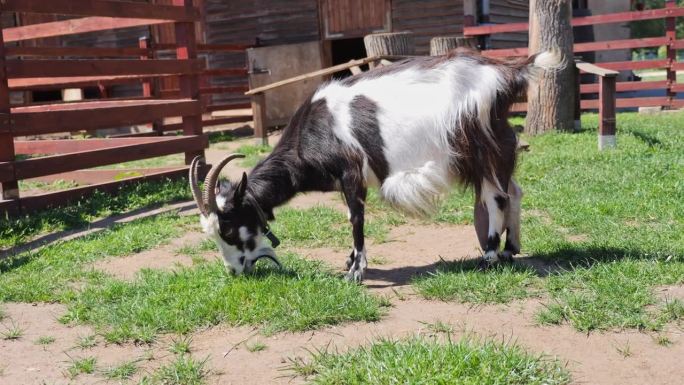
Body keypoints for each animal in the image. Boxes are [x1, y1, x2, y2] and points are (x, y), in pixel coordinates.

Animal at [190, 49, 564, 280]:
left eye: (228, 229)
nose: (235, 271)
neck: (314, 130)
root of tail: (510, 72)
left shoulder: (351, 173)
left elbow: (355, 219)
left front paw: (355, 271)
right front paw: (349, 261)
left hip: (480, 147)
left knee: (494, 198)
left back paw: (489, 256)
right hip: (500, 146)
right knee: (513, 190)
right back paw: (511, 249)